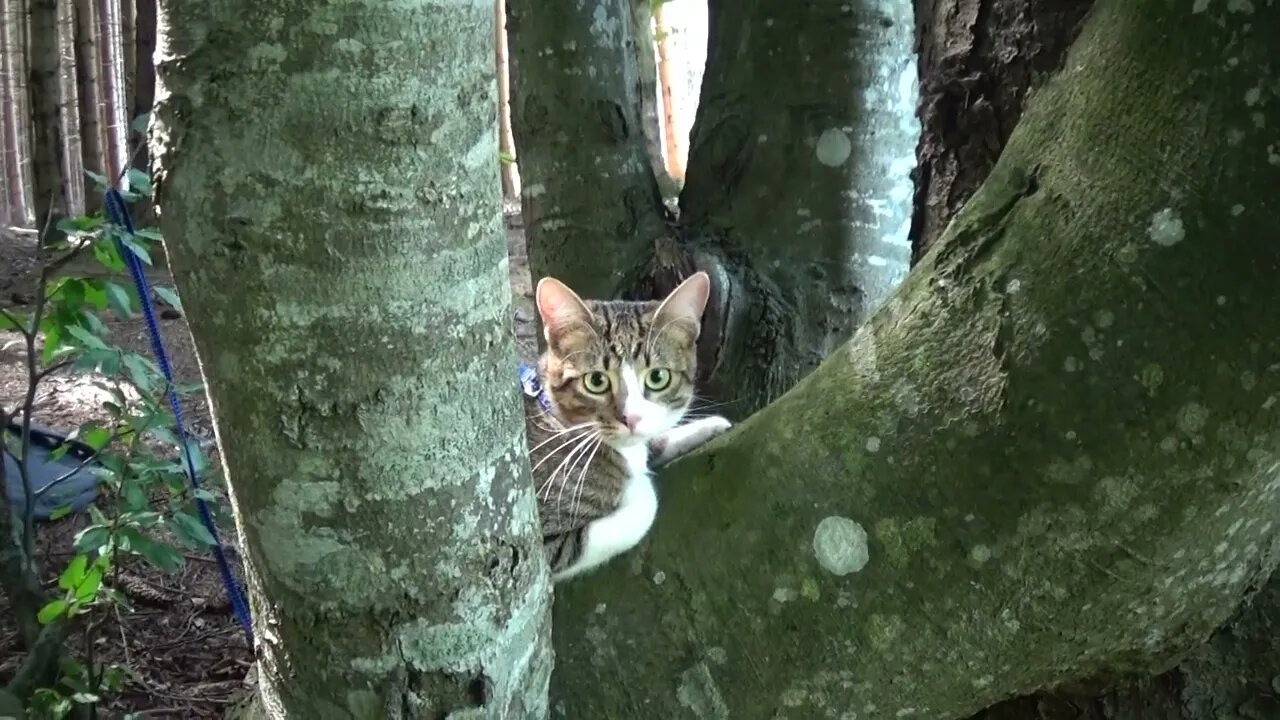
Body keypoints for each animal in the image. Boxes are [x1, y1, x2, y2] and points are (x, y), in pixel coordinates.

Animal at [519, 271, 737, 579]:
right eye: (596, 381)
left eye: (658, 377)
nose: (631, 418)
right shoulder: (541, 545)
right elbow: (637, 509)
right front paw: (639, 485)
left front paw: (708, 426)